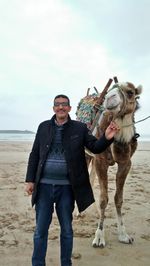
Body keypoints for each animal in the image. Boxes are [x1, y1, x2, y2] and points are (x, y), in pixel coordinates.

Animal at [77, 78, 142, 248]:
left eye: (130, 92)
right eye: (112, 89)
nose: (109, 98)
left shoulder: (126, 163)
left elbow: (118, 199)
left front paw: (124, 235)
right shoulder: (101, 161)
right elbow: (103, 199)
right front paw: (99, 237)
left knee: (91, 179)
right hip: (86, 155)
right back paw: (80, 212)